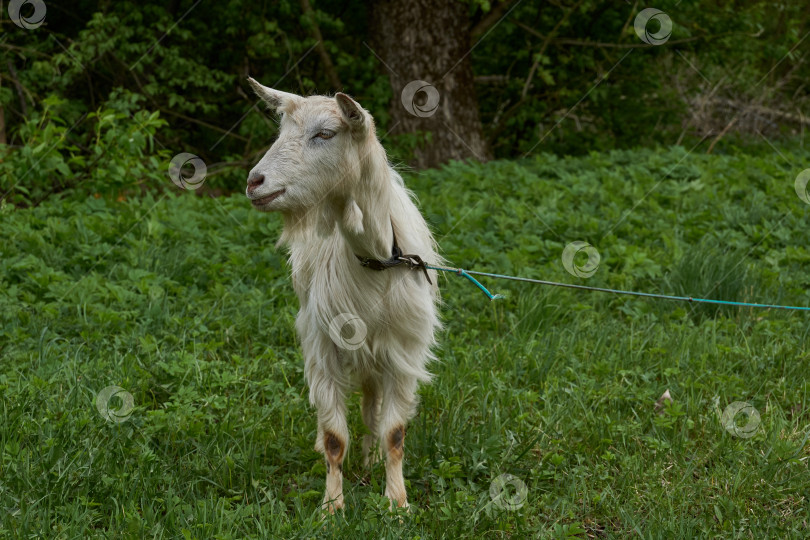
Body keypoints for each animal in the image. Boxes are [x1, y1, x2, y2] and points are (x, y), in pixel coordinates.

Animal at [243, 78, 438, 512]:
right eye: (281, 132)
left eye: (325, 134)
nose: (254, 182)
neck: (378, 259)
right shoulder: (323, 343)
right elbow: (335, 438)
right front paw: (332, 508)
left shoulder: (402, 348)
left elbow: (394, 432)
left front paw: (397, 504)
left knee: (371, 404)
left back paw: (371, 459)